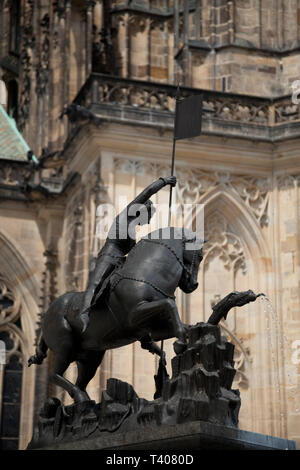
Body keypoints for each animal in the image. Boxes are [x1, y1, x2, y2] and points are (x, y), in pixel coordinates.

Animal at [28, 226, 204, 402]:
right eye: (200, 255)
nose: (193, 285)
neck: (145, 273)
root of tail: (48, 312)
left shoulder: (154, 329)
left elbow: (181, 324)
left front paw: (191, 334)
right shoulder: (135, 316)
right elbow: (170, 304)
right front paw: (180, 342)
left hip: (90, 358)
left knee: (80, 382)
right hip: (65, 347)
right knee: (54, 375)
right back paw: (79, 395)